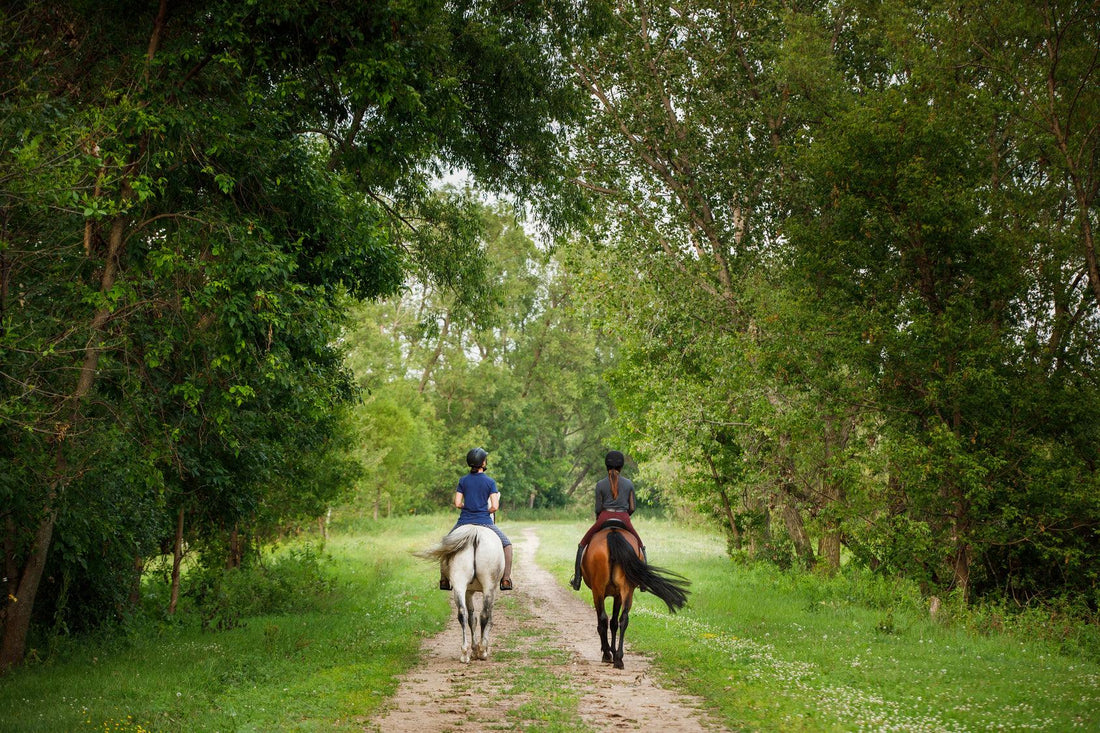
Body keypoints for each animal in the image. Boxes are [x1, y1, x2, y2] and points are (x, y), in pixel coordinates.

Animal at [415, 521, 506, 660]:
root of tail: (475, 533)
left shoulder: (468, 592)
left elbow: (472, 619)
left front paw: (473, 649)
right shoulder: (493, 590)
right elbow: (488, 619)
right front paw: (480, 649)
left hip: (459, 585)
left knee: (462, 613)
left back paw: (464, 653)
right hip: (488, 585)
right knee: (484, 615)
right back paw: (482, 651)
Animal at [576, 521, 686, 664]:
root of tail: (613, 533)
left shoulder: (601, 593)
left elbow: (604, 623)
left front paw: (608, 651)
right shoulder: (618, 595)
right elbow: (614, 623)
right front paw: (614, 651)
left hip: (599, 589)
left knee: (603, 619)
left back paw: (608, 655)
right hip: (627, 589)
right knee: (623, 618)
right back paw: (618, 658)